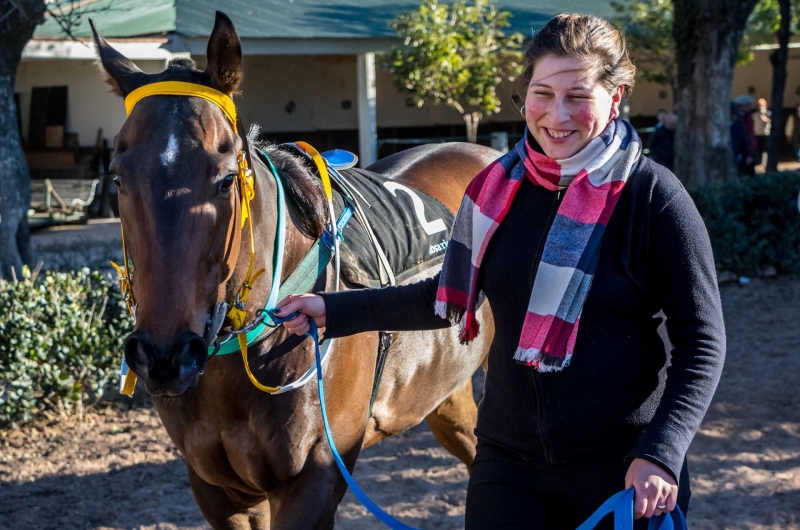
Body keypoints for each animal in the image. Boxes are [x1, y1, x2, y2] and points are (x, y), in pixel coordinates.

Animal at [90, 12, 496, 528]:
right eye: (118, 177)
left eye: (226, 178)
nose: (165, 355)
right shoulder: (217, 490)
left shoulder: (312, 483)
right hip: (444, 392)